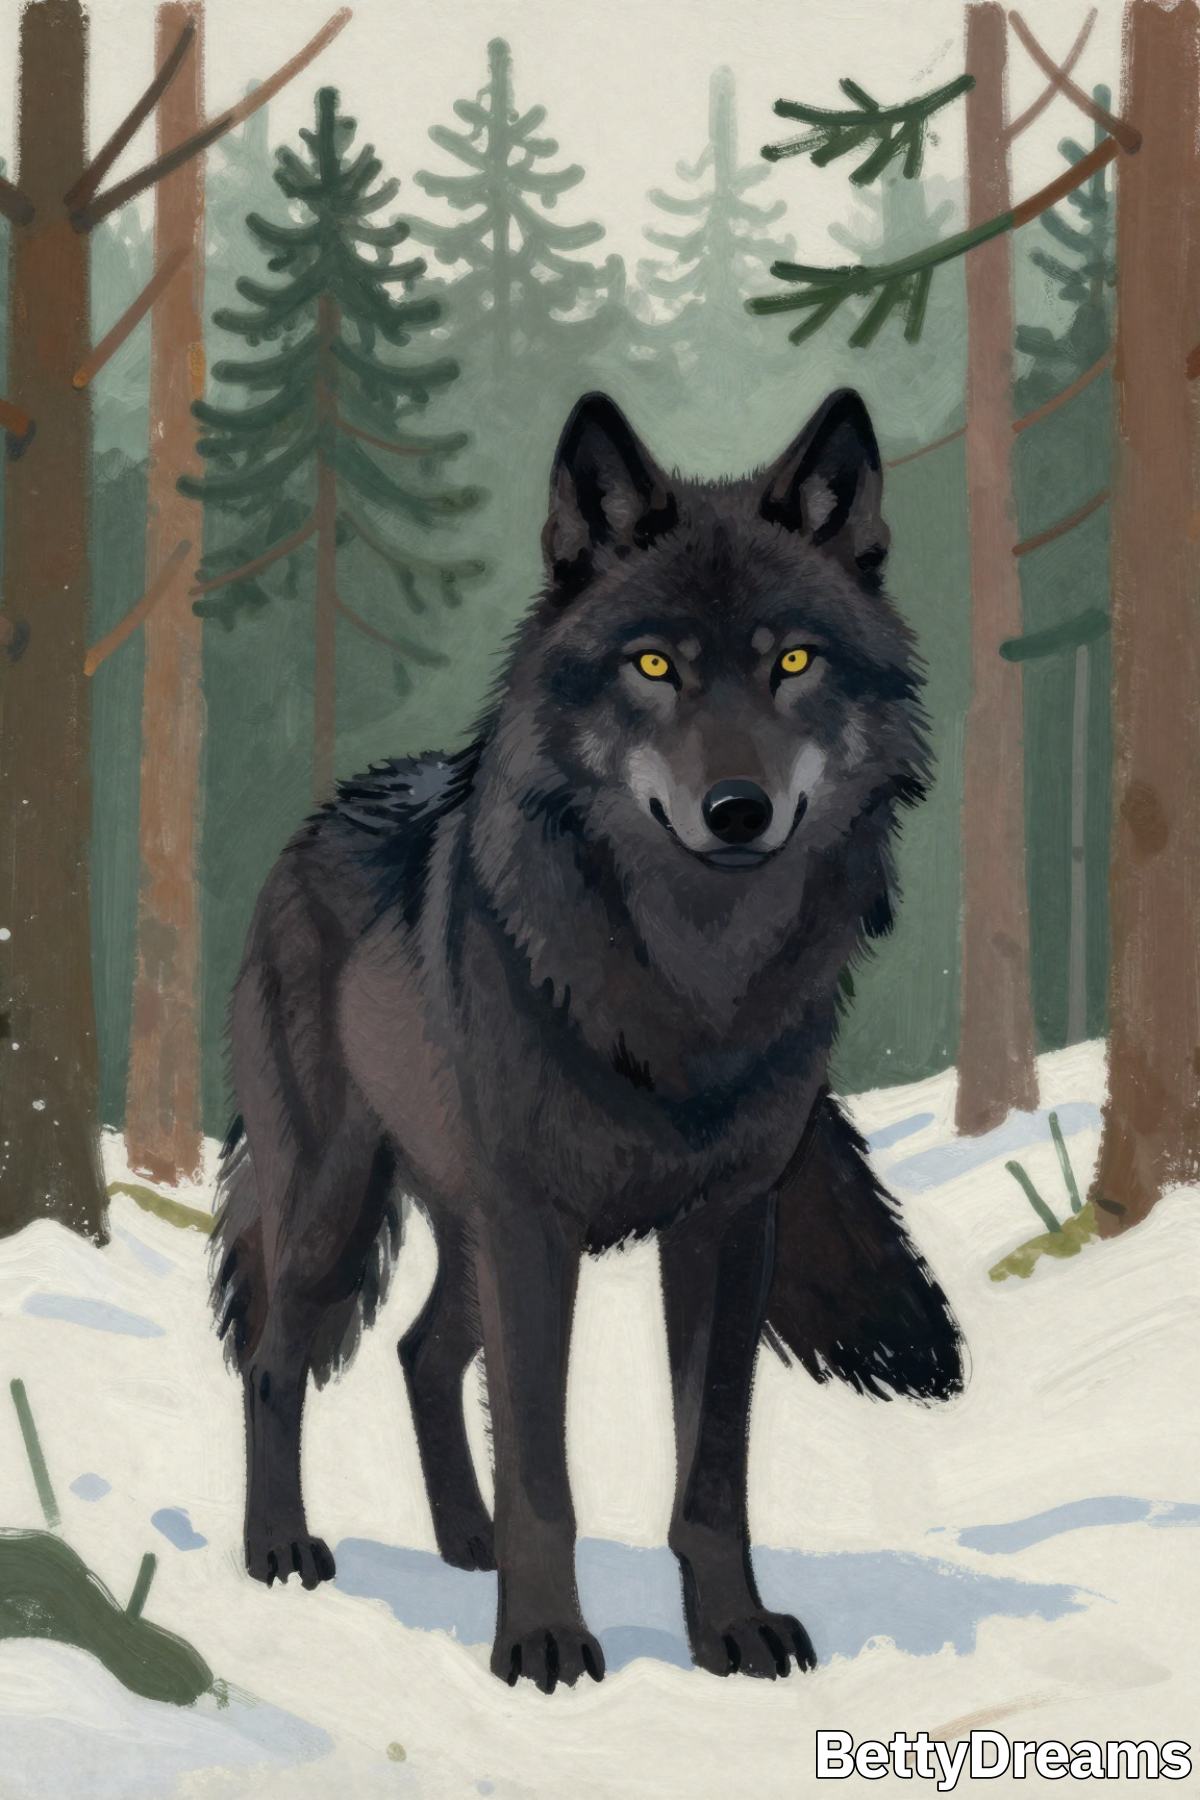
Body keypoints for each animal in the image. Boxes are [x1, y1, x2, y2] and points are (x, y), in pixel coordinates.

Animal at [212, 387, 964, 1693]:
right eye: (654, 664)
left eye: (794, 662)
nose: (737, 811)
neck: (691, 985)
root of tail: (315, 820)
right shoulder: (533, 1225)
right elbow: (544, 1470)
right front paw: (544, 1643)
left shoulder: (730, 1222)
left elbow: (711, 1469)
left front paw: (731, 1633)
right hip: (334, 1208)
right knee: (273, 1362)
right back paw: (281, 1551)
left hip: (457, 1227)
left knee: (421, 1353)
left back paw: (461, 1542)